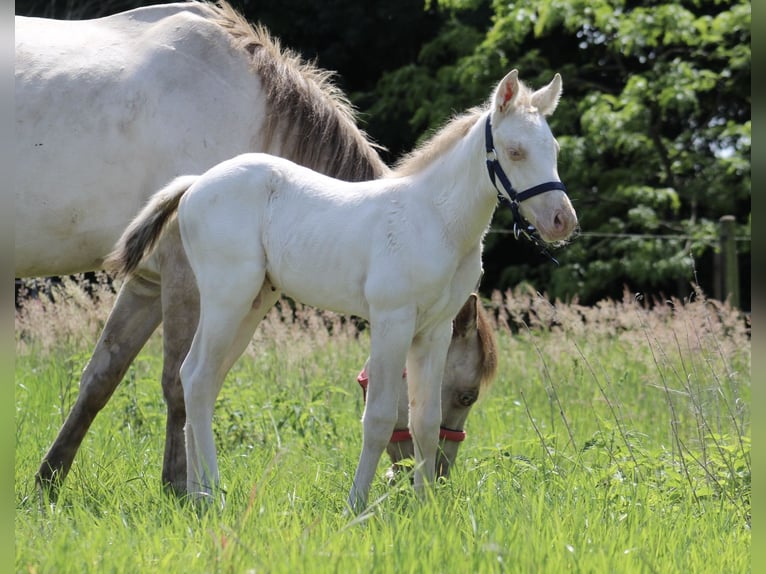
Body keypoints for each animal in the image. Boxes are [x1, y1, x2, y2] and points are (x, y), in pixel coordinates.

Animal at [16, 1, 496, 496]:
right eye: (466, 394)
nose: (437, 476)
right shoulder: (183, 276)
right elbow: (176, 383)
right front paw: (181, 488)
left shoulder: (149, 283)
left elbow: (102, 376)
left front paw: (49, 480)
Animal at [106, 68, 578, 511]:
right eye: (515, 151)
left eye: (554, 150)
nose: (563, 221)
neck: (435, 220)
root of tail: (196, 183)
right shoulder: (392, 322)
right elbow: (380, 418)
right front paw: (357, 505)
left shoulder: (434, 331)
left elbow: (424, 421)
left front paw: (426, 507)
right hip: (227, 298)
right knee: (198, 377)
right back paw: (212, 495)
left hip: (253, 304)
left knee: (199, 380)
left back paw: (198, 493)